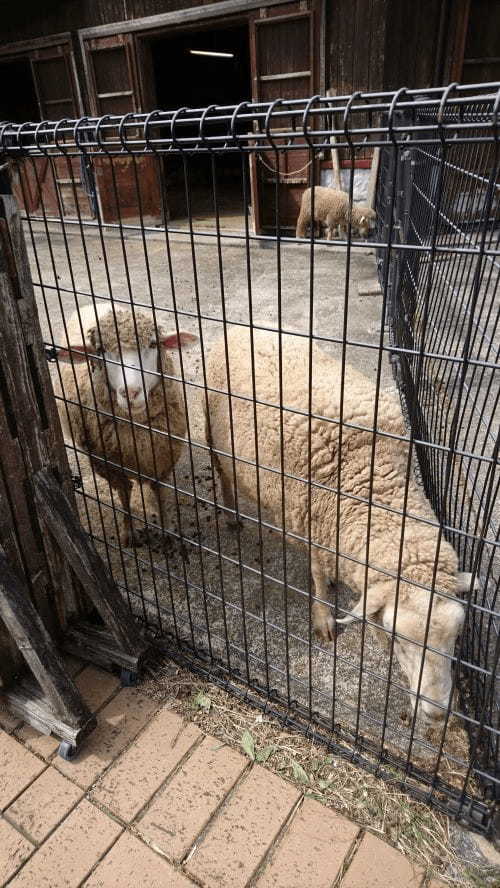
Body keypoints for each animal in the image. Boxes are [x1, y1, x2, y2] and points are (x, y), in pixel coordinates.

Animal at [54, 302, 195, 544]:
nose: (130, 392)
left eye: (153, 344)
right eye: (100, 351)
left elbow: (160, 494)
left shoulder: (161, 461)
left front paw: (167, 530)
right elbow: (124, 495)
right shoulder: (109, 467)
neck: (137, 434)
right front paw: (129, 532)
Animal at [204, 330, 468, 724]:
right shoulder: (310, 522)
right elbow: (316, 576)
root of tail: (238, 328)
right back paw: (233, 513)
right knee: (223, 473)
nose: (436, 714)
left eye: (455, 638)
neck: (370, 480)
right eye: (398, 640)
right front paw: (324, 617)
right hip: (213, 436)